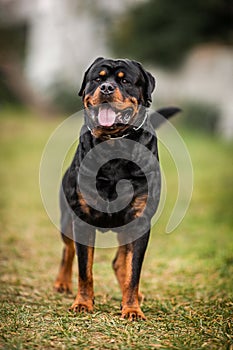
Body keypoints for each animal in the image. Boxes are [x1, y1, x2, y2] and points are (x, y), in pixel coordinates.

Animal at [54, 56, 180, 320]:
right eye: (98, 78)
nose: (106, 88)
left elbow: (133, 270)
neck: (113, 147)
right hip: (65, 216)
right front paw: (83, 303)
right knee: (67, 250)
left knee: (121, 262)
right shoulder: (81, 218)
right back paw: (62, 282)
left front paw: (131, 308)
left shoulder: (139, 221)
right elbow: (85, 269)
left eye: (125, 81)